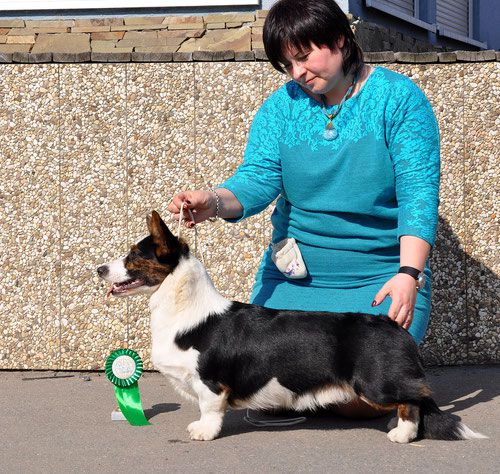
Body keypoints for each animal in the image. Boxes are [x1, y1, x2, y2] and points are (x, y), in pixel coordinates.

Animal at [95, 212, 486, 444]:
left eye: (133, 255)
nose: (98, 269)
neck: (184, 308)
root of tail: (393, 325)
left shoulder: (211, 382)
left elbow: (210, 409)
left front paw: (203, 432)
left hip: (375, 384)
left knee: (412, 400)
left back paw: (402, 435)